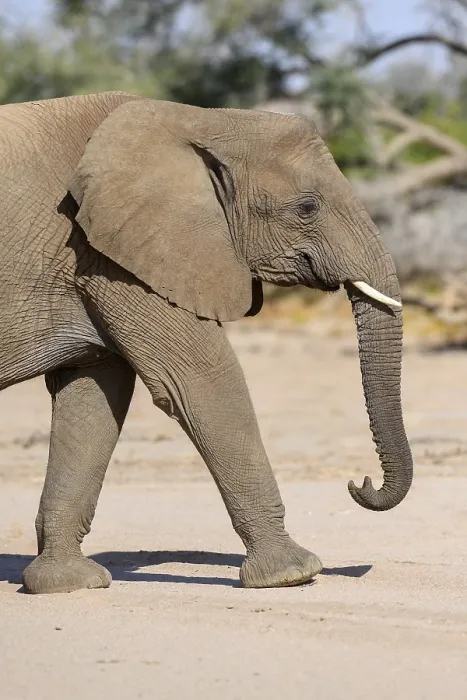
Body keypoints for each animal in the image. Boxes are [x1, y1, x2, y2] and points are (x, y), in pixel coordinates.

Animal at [0, 92, 413, 594]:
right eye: (306, 208)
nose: (360, 484)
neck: (200, 120)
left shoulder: (99, 254)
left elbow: (94, 396)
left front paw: (69, 584)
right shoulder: (110, 252)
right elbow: (201, 380)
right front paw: (292, 574)